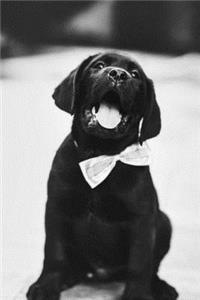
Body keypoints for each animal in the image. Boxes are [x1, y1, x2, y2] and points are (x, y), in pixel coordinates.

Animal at [27, 52, 178, 300]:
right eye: (99, 65)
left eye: (135, 74)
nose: (118, 74)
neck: (100, 154)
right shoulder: (56, 208)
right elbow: (54, 253)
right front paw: (46, 285)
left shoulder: (141, 219)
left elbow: (140, 264)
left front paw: (137, 294)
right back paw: (68, 277)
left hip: (164, 222)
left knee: (152, 268)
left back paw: (161, 287)